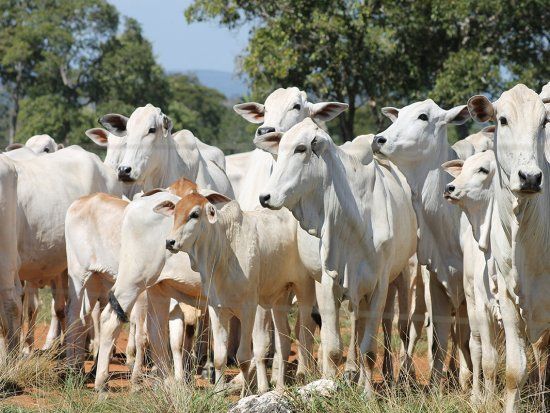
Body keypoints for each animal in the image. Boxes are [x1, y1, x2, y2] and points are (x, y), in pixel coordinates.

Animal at [258, 117, 418, 394]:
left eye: (301, 149)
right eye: (281, 149)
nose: (265, 197)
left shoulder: (378, 285)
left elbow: (369, 349)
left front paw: (368, 394)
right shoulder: (327, 282)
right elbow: (332, 347)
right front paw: (327, 387)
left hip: (401, 275)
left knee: (390, 327)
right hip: (306, 283)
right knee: (305, 329)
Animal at [374, 100, 476, 386]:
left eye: (423, 116)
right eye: (399, 115)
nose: (379, 139)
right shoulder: (436, 280)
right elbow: (440, 336)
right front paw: (435, 385)